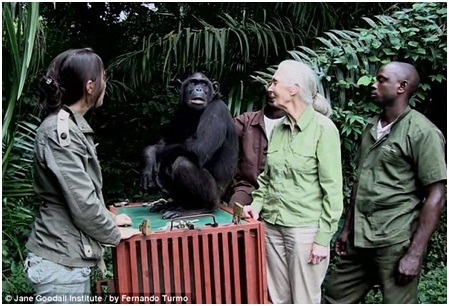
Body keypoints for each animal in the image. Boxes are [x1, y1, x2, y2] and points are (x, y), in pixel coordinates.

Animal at [140, 73, 238, 219]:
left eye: (204, 84)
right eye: (193, 83)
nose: (198, 89)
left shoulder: (217, 110)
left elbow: (200, 147)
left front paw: (155, 158)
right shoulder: (179, 113)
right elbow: (164, 142)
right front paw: (149, 156)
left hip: (216, 196)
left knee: (182, 163)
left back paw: (200, 208)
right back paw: (173, 204)